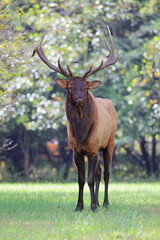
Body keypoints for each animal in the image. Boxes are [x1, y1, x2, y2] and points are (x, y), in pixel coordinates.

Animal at [31, 25, 118, 211]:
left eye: (85, 87)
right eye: (70, 87)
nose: (79, 98)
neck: (81, 132)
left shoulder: (93, 149)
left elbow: (90, 179)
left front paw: (92, 207)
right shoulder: (76, 151)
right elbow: (81, 180)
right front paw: (80, 206)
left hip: (110, 143)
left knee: (106, 173)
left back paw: (105, 203)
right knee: (99, 172)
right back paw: (98, 201)